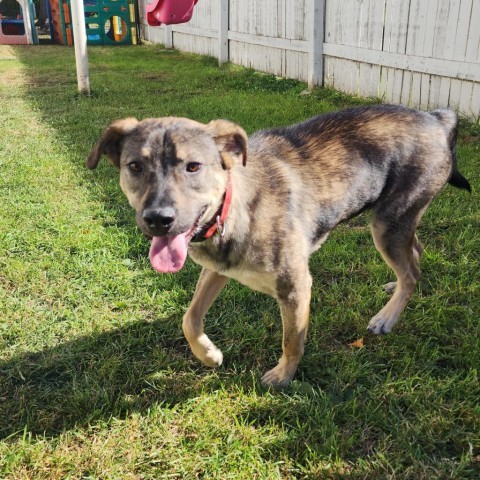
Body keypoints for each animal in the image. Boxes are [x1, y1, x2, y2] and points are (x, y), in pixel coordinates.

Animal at [86, 105, 468, 386]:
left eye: (193, 166)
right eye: (135, 166)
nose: (158, 219)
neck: (234, 207)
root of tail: (438, 118)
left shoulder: (295, 286)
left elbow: (292, 339)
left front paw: (283, 376)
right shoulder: (217, 269)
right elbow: (189, 318)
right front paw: (209, 354)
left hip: (388, 223)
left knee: (412, 272)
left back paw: (387, 316)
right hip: (398, 223)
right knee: (415, 256)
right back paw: (393, 286)